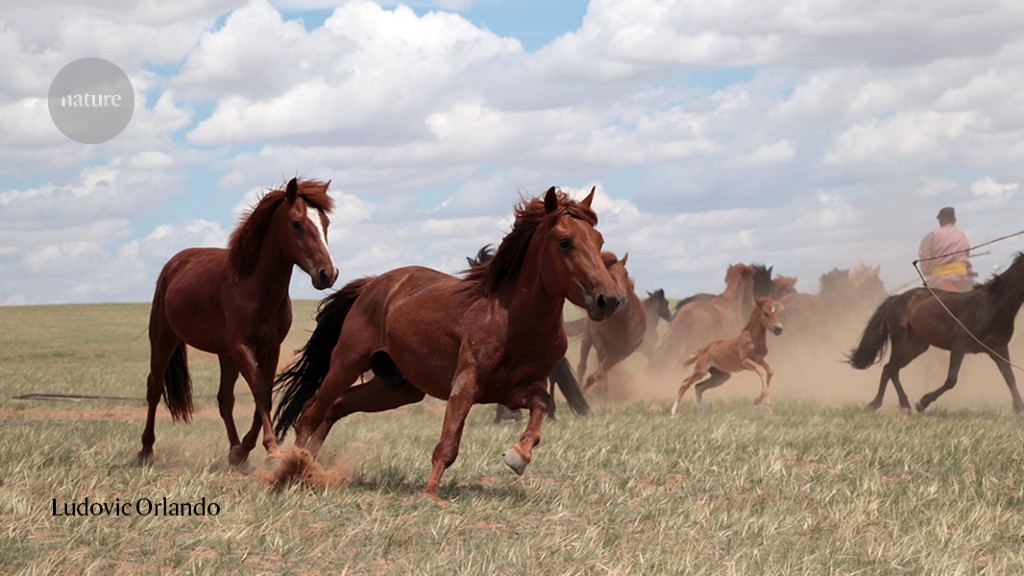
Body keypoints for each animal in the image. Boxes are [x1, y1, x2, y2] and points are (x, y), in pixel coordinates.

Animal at [138, 177, 337, 463]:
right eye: (296, 223)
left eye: (325, 223)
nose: (328, 274)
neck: (253, 287)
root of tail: (174, 264)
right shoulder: (243, 347)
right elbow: (260, 393)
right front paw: (271, 449)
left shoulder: (269, 348)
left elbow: (263, 394)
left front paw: (244, 449)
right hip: (164, 339)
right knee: (154, 389)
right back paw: (146, 450)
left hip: (225, 354)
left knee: (225, 399)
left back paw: (234, 451)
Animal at [274, 186, 622, 496]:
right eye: (565, 242)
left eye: (599, 241)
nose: (609, 300)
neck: (512, 320)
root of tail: (374, 284)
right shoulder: (466, 384)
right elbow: (448, 442)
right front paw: (430, 494)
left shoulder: (519, 389)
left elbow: (541, 406)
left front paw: (517, 457)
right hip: (348, 362)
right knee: (311, 410)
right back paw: (291, 469)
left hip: (397, 388)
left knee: (335, 407)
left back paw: (310, 468)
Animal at [577, 251, 647, 393]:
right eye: (610, 275)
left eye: (626, 274)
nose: (623, 299)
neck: (621, 322)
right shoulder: (596, 335)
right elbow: (601, 354)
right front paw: (597, 381)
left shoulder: (624, 351)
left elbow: (606, 366)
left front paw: (598, 382)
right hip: (587, 337)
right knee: (582, 365)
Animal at [847, 251, 1024, 412]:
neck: (989, 308)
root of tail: (896, 298)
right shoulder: (959, 346)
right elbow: (951, 380)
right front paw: (922, 402)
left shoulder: (998, 348)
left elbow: (1010, 378)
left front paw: (1019, 408)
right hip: (902, 343)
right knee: (890, 369)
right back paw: (886, 404)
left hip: (915, 347)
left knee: (890, 369)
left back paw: (895, 404)